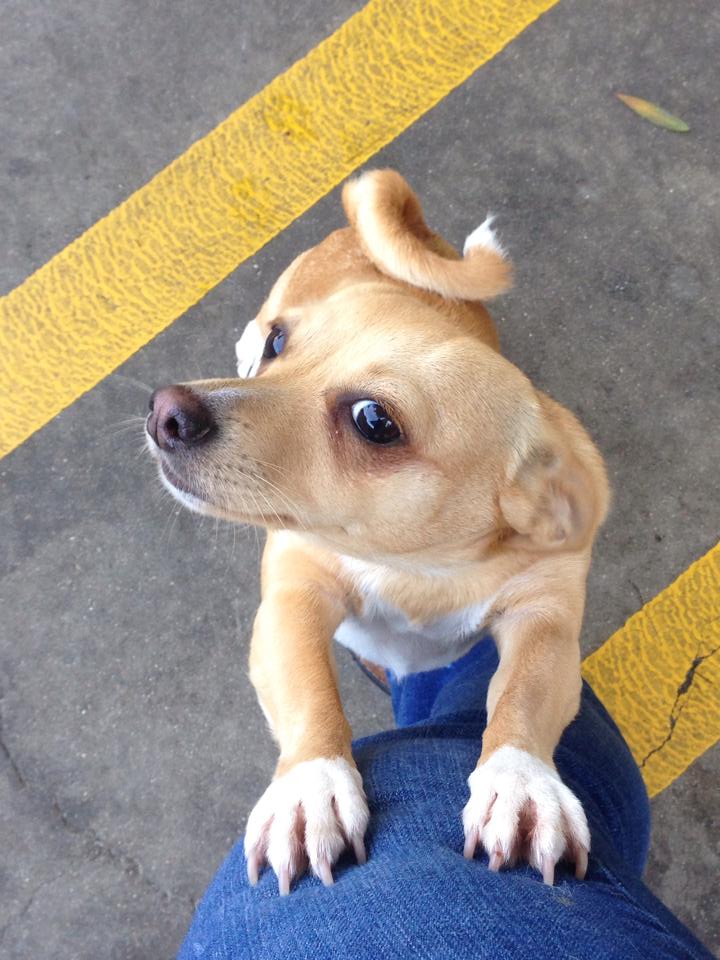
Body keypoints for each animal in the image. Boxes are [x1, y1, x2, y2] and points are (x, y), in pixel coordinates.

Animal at [145, 169, 608, 896]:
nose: (165, 411)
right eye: (282, 346)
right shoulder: (294, 598)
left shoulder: (547, 617)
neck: (414, 566)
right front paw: (311, 785)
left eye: (374, 420)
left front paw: (521, 781)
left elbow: (526, 695)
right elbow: (309, 690)